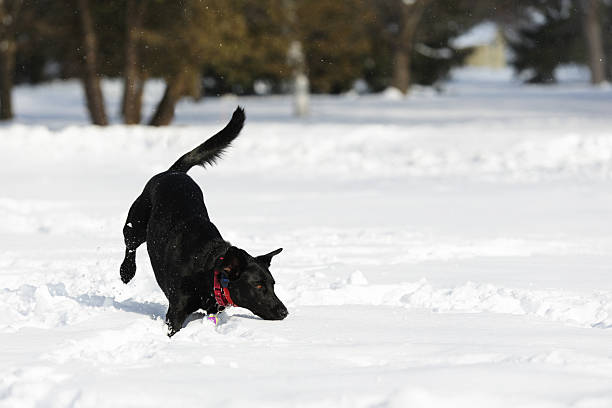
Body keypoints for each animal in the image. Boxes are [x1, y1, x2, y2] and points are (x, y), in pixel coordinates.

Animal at [121, 107, 290, 336]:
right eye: (258, 286)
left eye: (273, 284)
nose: (284, 312)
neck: (210, 268)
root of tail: (174, 172)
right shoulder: (176, 311)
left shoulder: (211, 308)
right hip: (136, 224)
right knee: (130, 244)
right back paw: (126, 272)